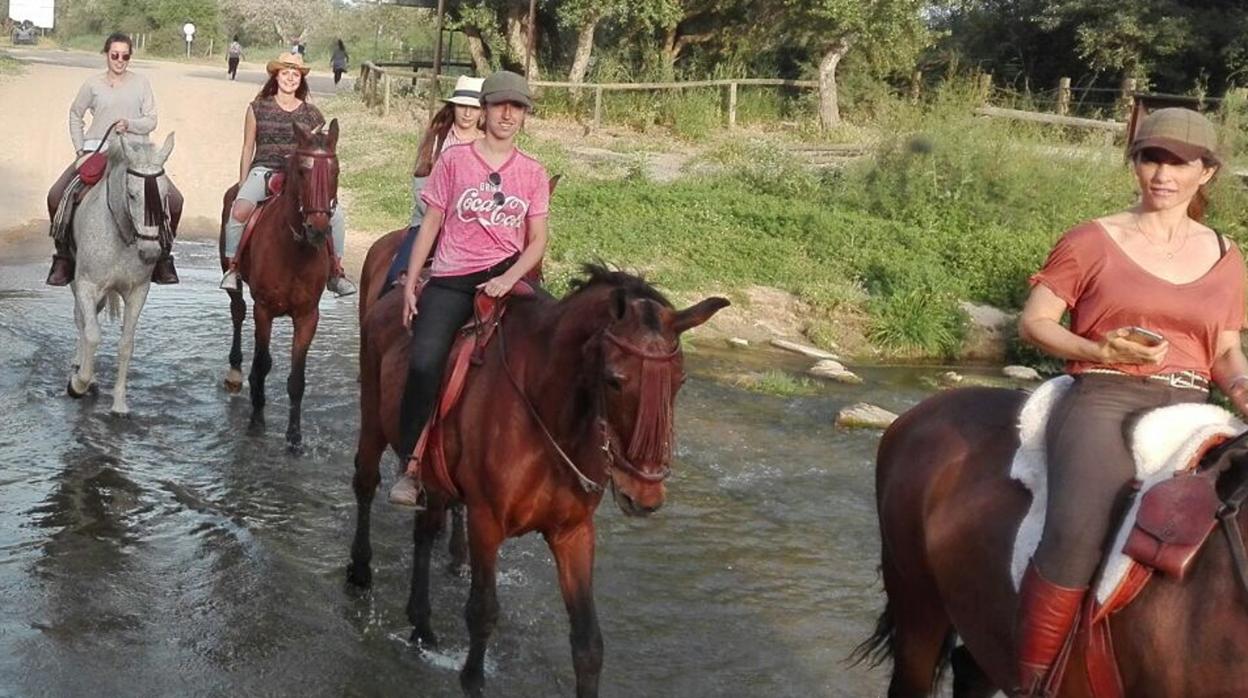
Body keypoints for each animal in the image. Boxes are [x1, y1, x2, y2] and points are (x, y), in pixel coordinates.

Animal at [68, 131, 177, 414]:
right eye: (132, 195)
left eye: (165, 195)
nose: (150, 253)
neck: (121, 235)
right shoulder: (86, 285)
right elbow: (92, 334)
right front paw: (78, 383)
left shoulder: (138, 291)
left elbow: (126, 345)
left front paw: (119, 404)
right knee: (82, 321)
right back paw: (82, 370)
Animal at [217, 119, 339, 447]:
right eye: (303, 172)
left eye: (335, 171)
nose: (318, 229)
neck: (294, 249)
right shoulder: (265, 310)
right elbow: (262, 363)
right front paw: (256, 420)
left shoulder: (308, 316)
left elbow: (297, 379)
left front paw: (294, 435)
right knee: (237, 312)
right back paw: (235, 373)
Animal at [346, 259, 728, 694]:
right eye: (614, 380)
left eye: (680, 380)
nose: (643, 493)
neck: (548, 413)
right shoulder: (485, 522)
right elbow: (482, 613)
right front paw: (472, 679)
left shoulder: (574, 532)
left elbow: (588, 642)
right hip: (374, 421)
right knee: (365, 483)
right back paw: (360, 572)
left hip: (435, 476)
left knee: (425, 530)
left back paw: (421, 623)